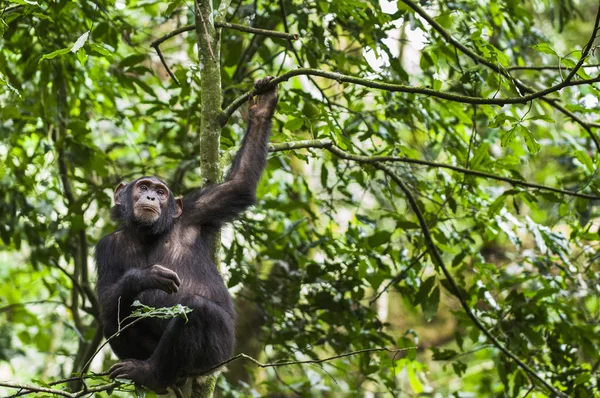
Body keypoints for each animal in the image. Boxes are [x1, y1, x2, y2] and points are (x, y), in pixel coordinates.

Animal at [95, 77, 278, 392]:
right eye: (143, 187)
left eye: (160, 192)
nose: (151, 197)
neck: (148, 233)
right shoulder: (105, 246)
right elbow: (107, 297)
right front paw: (146, 276)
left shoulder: (196, 212)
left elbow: (239, 185)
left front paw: (263, 107)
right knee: (113, 319)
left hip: (216, 355)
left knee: (197, 308)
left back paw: (151, 374)